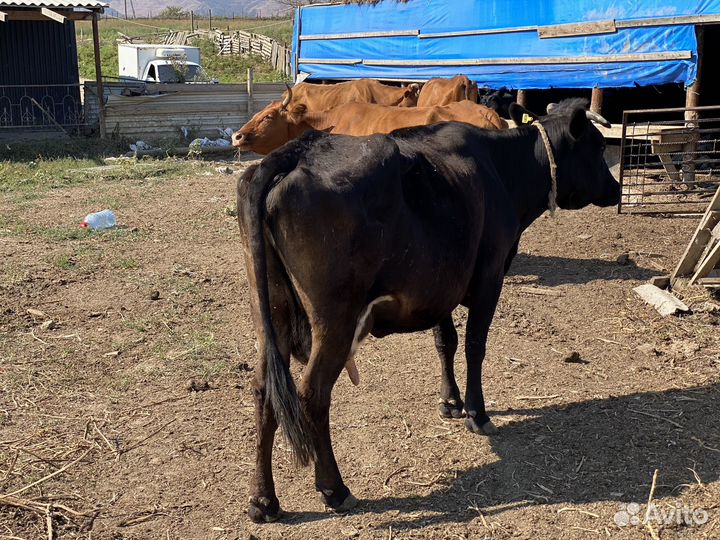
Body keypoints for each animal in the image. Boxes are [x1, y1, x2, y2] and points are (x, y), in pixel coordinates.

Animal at [237, 98, 619, 522]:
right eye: (598, 147)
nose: (617, 189)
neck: (501, 169)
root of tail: (298, 150)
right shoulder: (489, 277)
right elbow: (474, 346)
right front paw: (476, 413)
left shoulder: (439, 284)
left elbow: (445, 341)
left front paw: (450, 402)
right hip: (334, 320)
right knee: (312, 394)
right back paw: (334, 489)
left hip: (272, 313)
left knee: (264, 390)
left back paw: (263, 500)